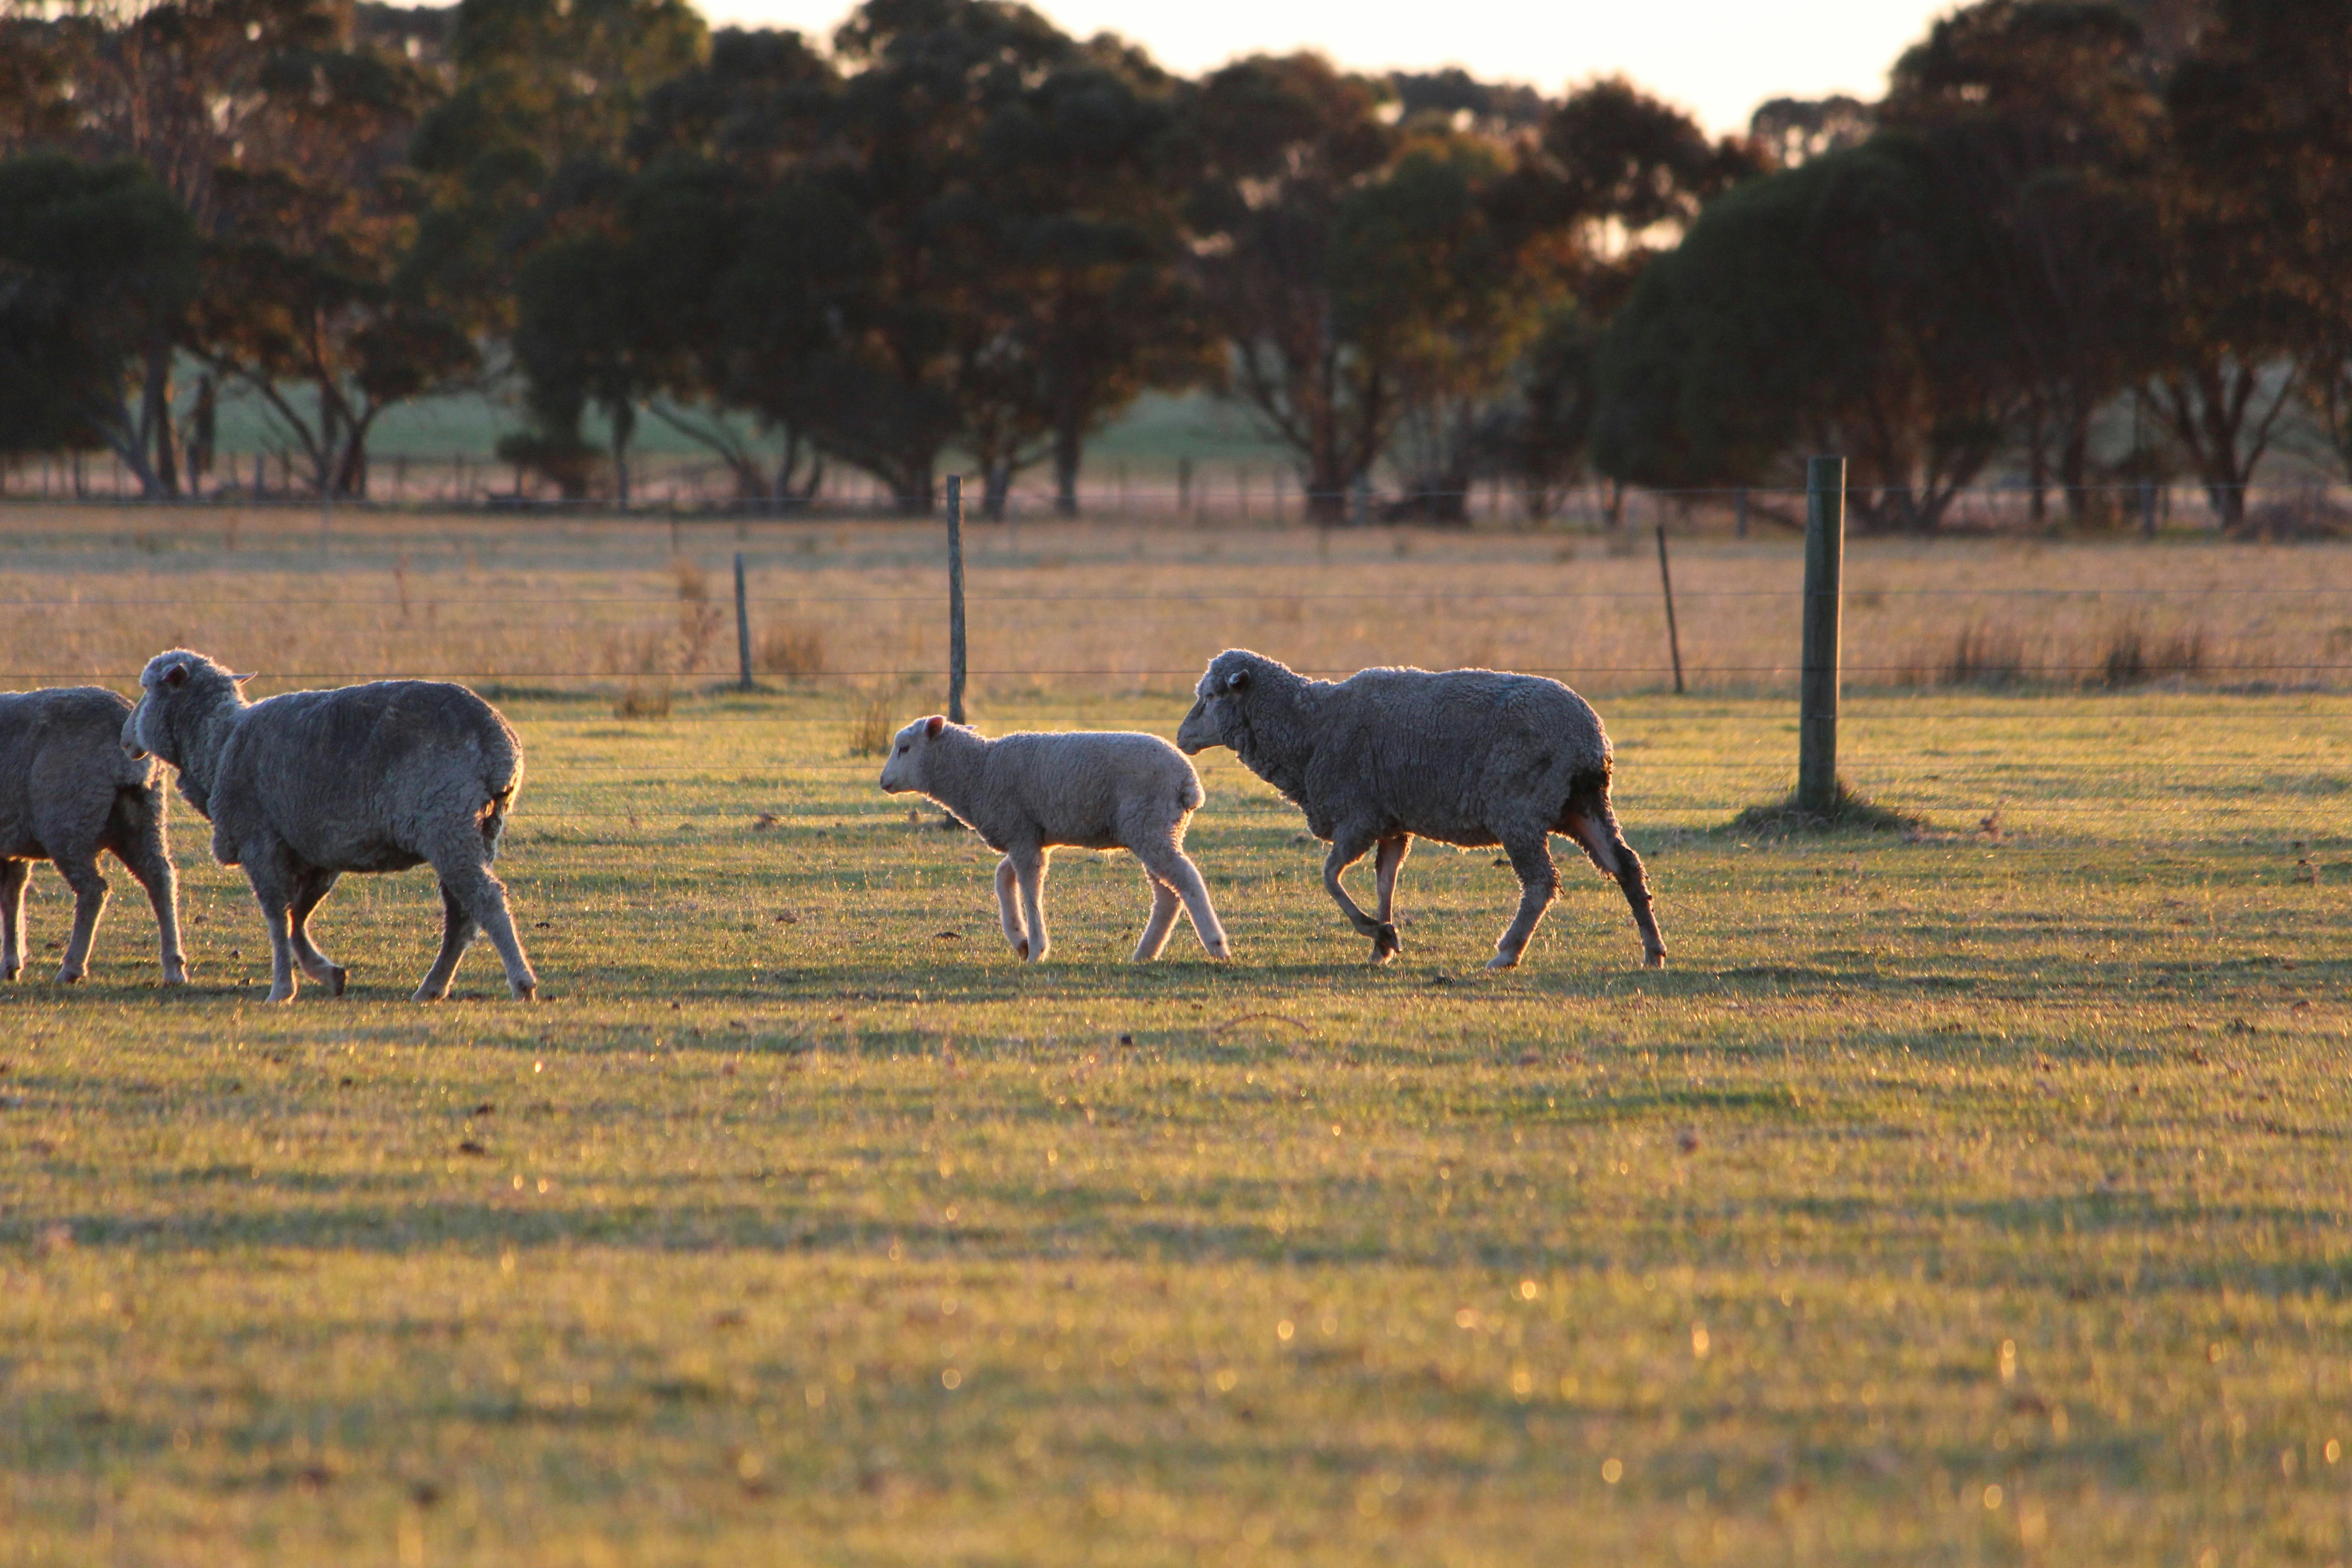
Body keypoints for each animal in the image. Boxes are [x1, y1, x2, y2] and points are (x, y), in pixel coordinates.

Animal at [0, 687, 186, 985]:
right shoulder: (13, 842)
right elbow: (12, 894)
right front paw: (11, 964)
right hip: (144, 814)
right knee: (161, 878)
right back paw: (174, 968)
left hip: (68, 820)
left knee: (94, 890)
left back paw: (72, 968)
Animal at [123, 651, 537, 1003]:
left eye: (147, 688)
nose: (127, 737)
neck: (217, 744)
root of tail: (499, 742)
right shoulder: (318, 852)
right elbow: (298, 916)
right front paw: (327, 973)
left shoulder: (261, 840)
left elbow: (278, 916)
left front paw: (282, 989)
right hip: (481, 828)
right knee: (462, 913)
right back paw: (432, 987)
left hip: (447, 822)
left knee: (485, 898)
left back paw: (521, 982)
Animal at [878, 715, 1229, 963]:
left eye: (905, 748)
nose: (883, 782)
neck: (979, 770)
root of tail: (1189, 782)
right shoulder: (1027, 834)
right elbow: (1003, 878)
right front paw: (1019, 939)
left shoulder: (1020, 834)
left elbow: (1030, 888)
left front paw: (1036, 949)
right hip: (1154, 828)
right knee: (1168, 894)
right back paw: (1145, 954)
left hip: (1150, 825)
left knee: (1186, 880)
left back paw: (1216, 945)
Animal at [1175, 650, 1666, 971]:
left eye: (1212, 695)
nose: (1181, 737)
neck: (1310, 727)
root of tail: (1591, 738)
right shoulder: (1393, 824)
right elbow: (1385, 882)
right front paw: (1384, 945)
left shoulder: (1359, 817)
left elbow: (1331, 879)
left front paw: (1377, 932)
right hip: (1582, 805)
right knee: (1625, 866)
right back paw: (1653, 950)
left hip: (1521, 812)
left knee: (1542, 883)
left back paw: (1507, 952)